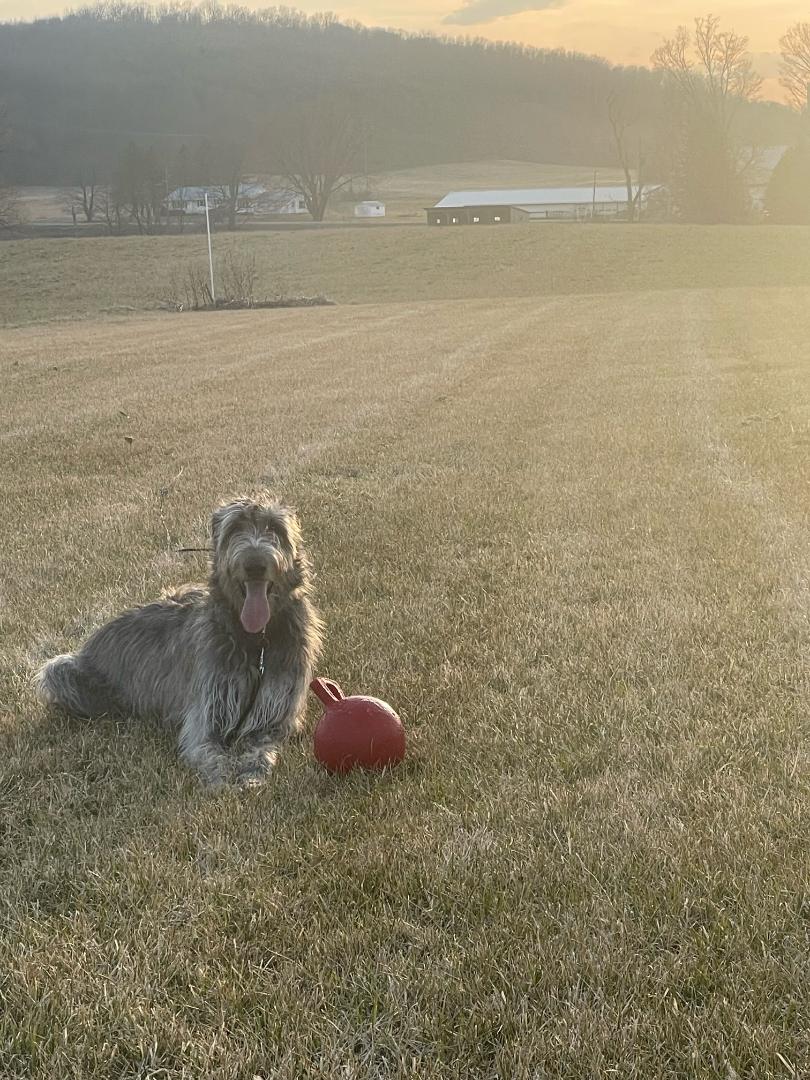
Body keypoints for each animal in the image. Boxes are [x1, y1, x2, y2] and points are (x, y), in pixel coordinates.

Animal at [35, 494, 324, 786]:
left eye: (274, 528)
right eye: (234, 529)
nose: (255, 565)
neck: (256, 641)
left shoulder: (278, 712)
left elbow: (264, 745)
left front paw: (253, 771)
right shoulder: (206, 711)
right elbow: (207, 748)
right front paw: (222, 778)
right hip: (63, 671)